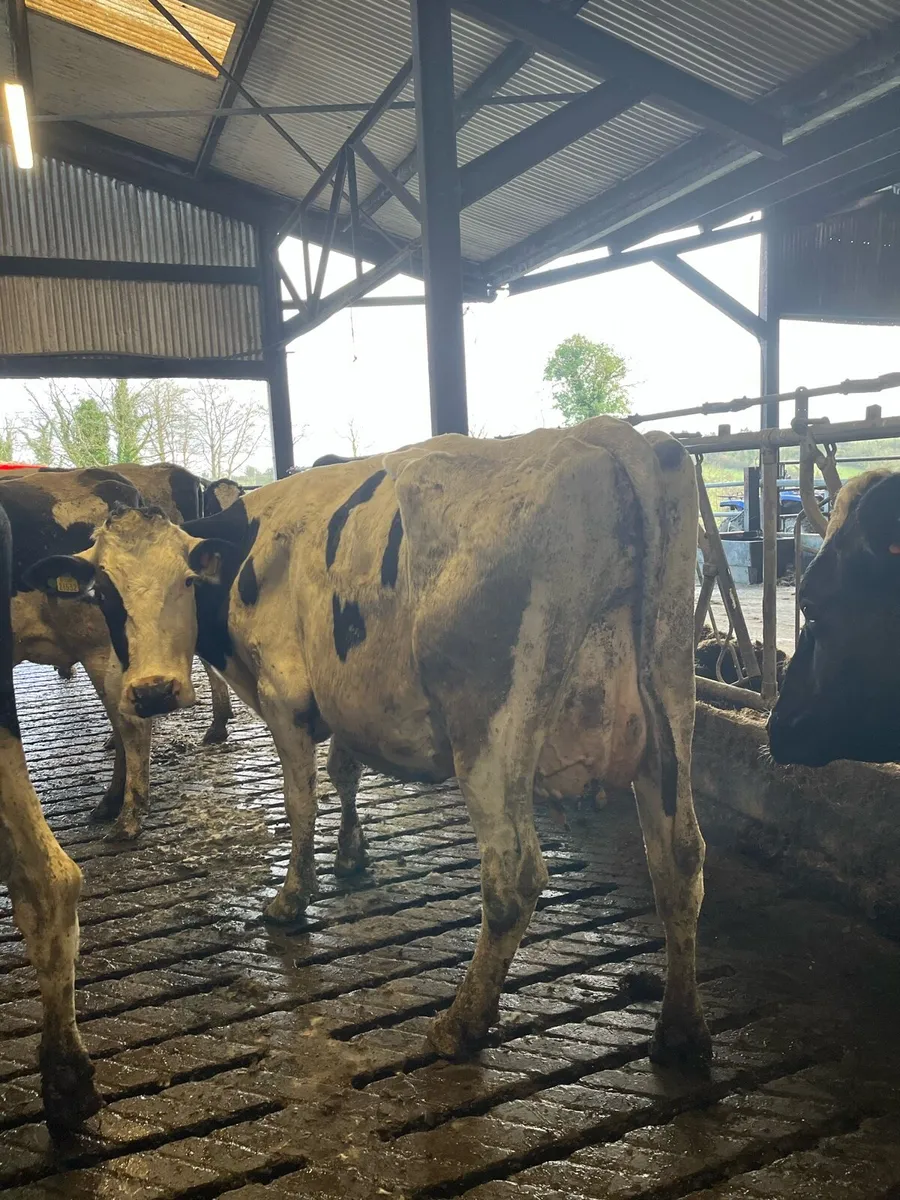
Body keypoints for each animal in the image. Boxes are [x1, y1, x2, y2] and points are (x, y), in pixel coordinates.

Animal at [26, 419, 709, 1065]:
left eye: (188, 582)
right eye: (104, 593)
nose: (153, 692)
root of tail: (599, 435)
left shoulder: (285, 697)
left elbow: (302, 803)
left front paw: (292, 897)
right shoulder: (342, 696)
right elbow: (345, 771)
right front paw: (352, 853)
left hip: (490, 736)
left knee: (514, 876)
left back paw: (461, 1023)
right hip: (671, 703)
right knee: (679, 858)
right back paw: (679, 1033)